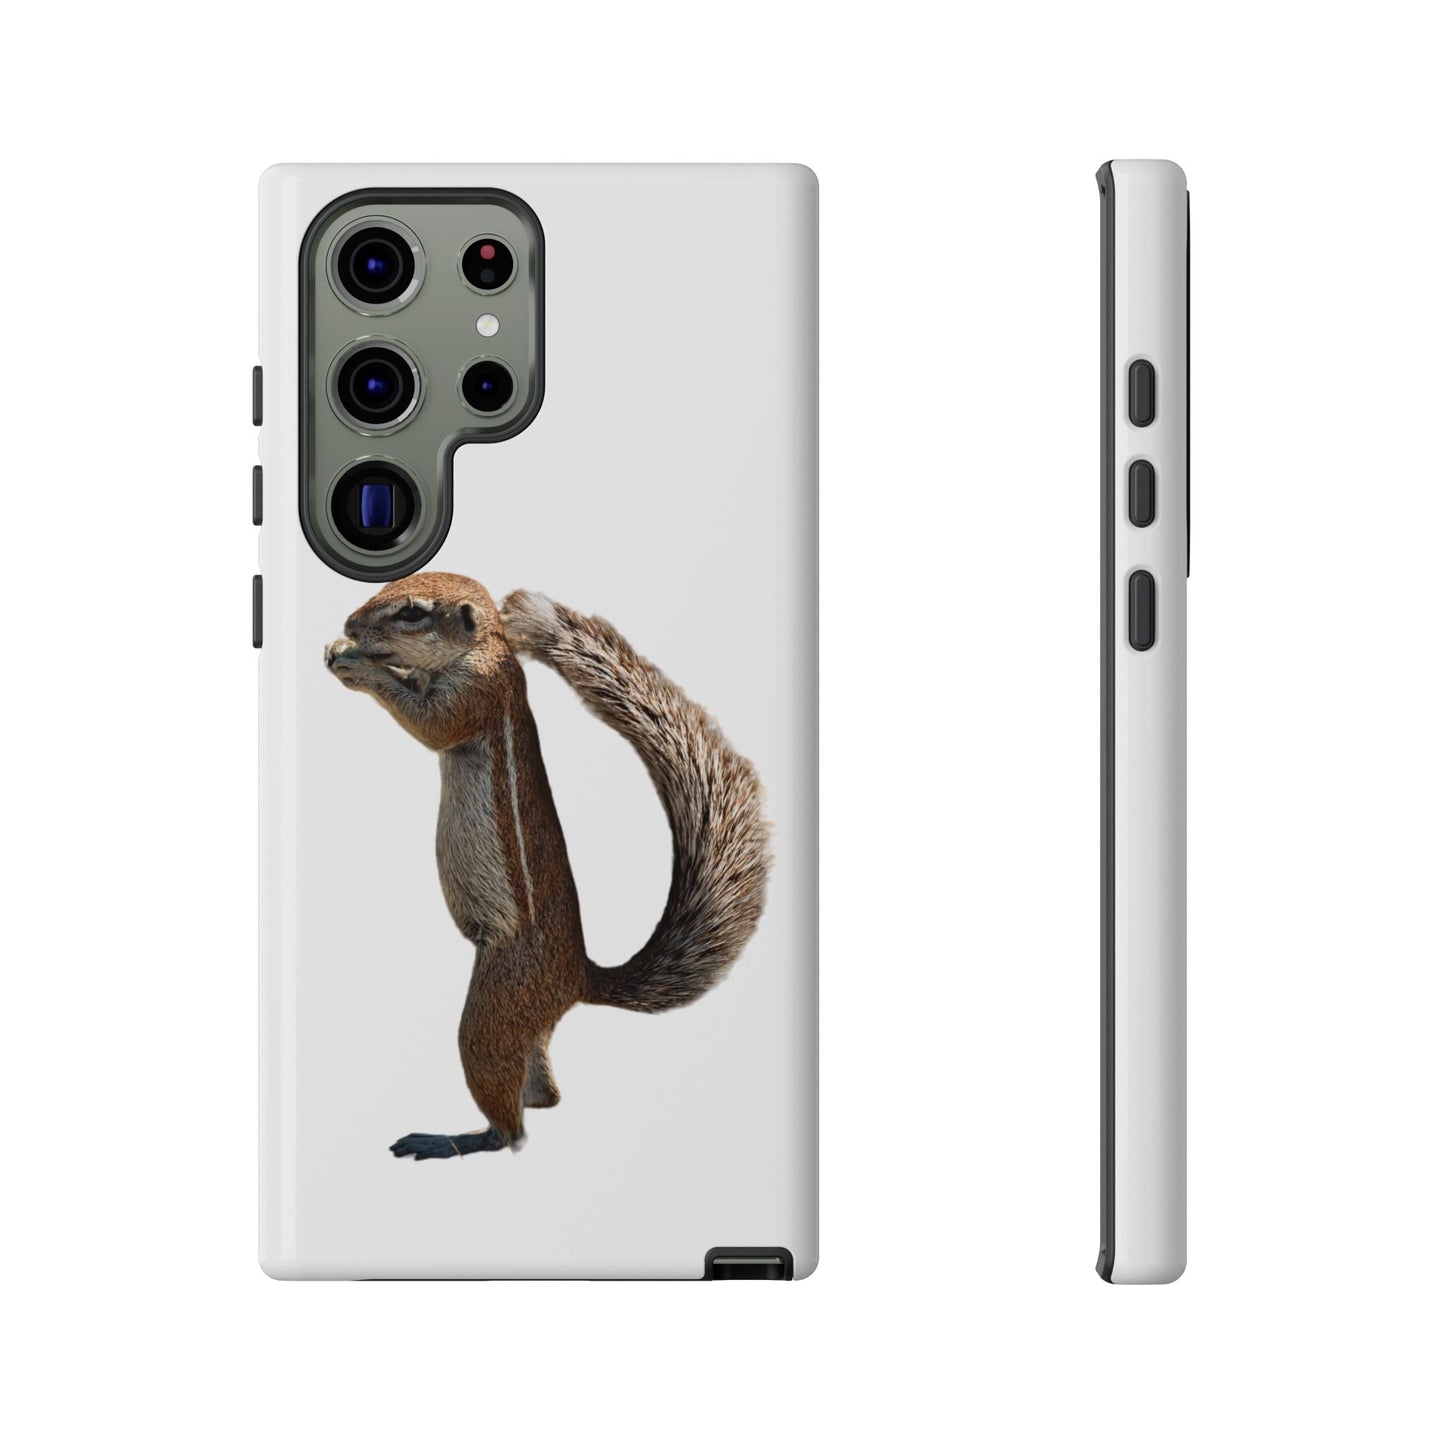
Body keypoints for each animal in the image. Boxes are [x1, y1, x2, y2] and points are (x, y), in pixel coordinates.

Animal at [324, 572, 771, 1158]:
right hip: (522, 1025)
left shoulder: (475, 693)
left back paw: (455, 1139)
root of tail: (577, 977)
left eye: (413, 612)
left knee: (511, 1126)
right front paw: (342, 650)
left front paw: (358, 665)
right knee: (545, 1090)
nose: (349, 625)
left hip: (494, 1008)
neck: (485, 648)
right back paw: (530, 1100)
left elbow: (429, 723)